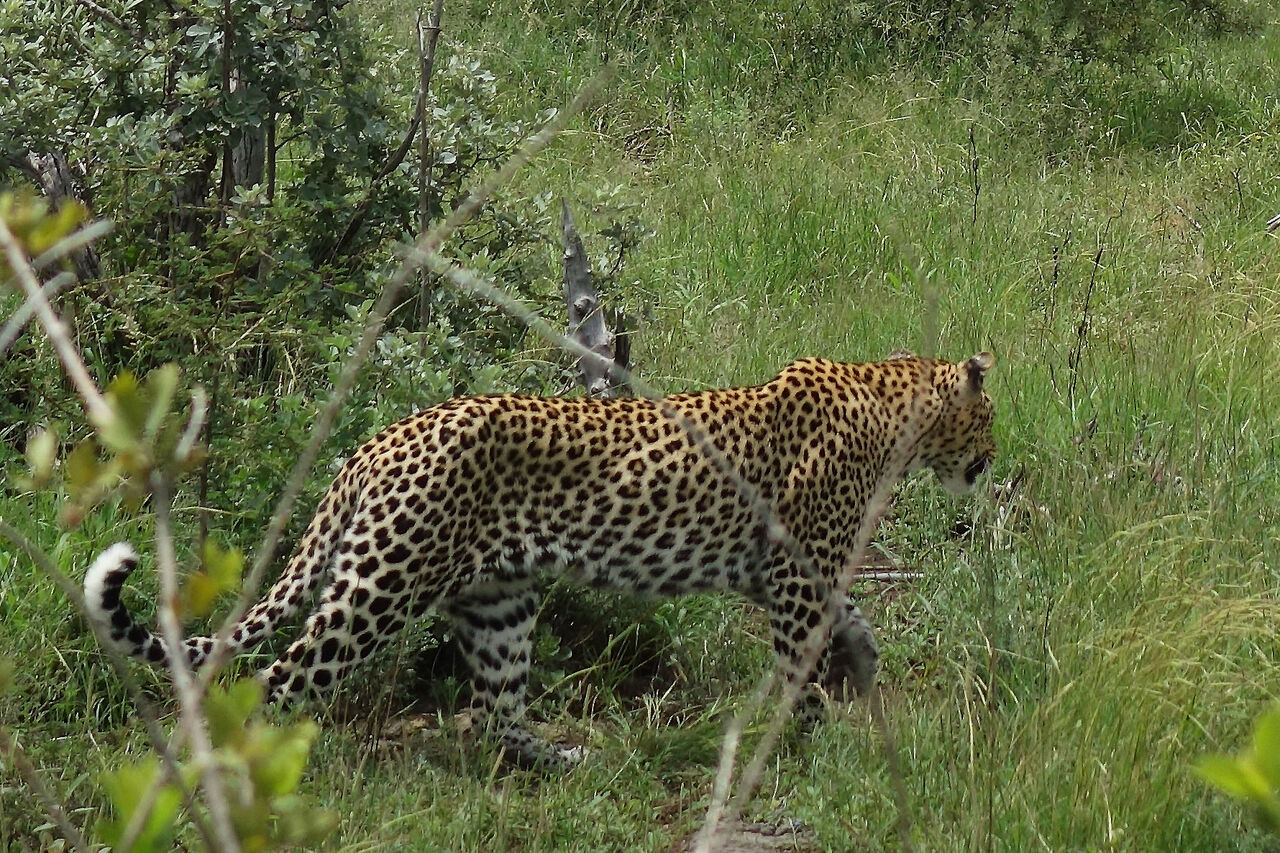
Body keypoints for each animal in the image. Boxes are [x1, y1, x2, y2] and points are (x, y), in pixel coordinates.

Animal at [83, 351, 996, 770]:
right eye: (989, 418)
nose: (993, 460)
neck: (894, 405)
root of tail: (379, 440)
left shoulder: (806, 570)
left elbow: (852, 617)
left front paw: (859, 666)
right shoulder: (797, 573)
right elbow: (801, 654)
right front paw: (808, 735)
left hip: (497, 601)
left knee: (495, 707)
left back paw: (558, 758)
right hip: (380, 584)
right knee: (278, 674)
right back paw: (241, 769)